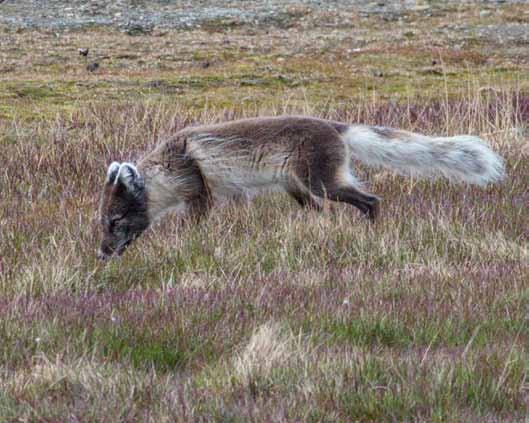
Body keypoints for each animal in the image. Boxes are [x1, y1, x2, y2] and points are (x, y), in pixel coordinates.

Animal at [97, 115, 506, 258]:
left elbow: (195, 226)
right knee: (326, 210)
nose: (102, 255)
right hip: (300, 190)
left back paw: (373, 233)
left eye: (114, 222)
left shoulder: (199, 193)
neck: (165, 168)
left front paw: (190, 245)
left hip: (323, 184)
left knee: (371, 200)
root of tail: (336, 126)